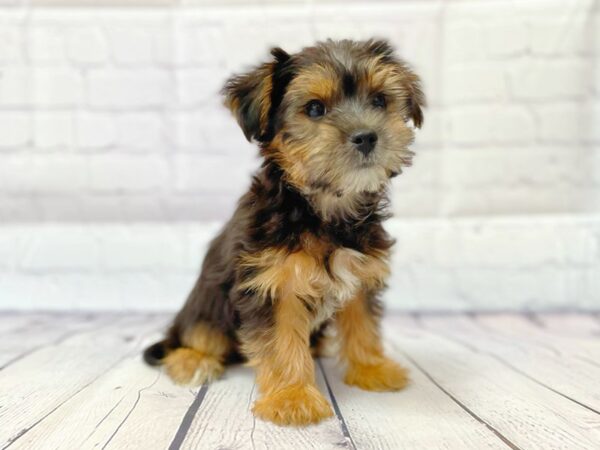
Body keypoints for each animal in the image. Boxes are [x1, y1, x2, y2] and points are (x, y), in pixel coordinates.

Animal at [144, 39, 426, 426]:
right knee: (196, 335)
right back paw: (193, 360)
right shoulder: (272, 284)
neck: (323, 208)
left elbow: (363, 322)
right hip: (206, 309)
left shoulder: (361, 273)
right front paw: (292, 397)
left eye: (380, 101)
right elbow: (281, 343)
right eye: (315, 108)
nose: (367, 136)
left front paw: (372, 368)